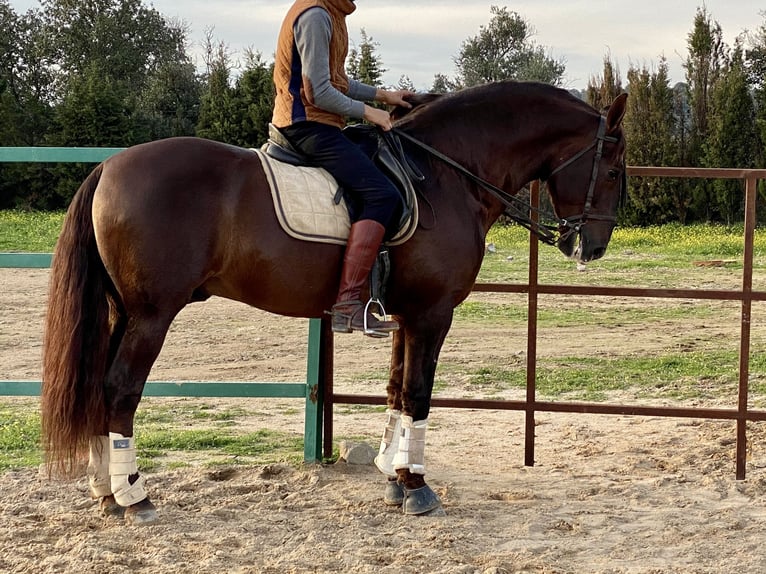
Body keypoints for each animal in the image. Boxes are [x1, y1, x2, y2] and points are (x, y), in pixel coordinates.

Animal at [42, 81, 628, 528]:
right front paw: (416, 486)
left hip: (123, 313)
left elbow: (395, 390)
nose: (594, 246)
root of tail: (109, 168)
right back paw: (134, 496)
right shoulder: (433, 313)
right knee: (120, 390)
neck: (445, 173)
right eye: (614, 170)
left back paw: (106, 493)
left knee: (99, 388)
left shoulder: (406, 317)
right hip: (150, 316)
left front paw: (394, 475)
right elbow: (418, 394)